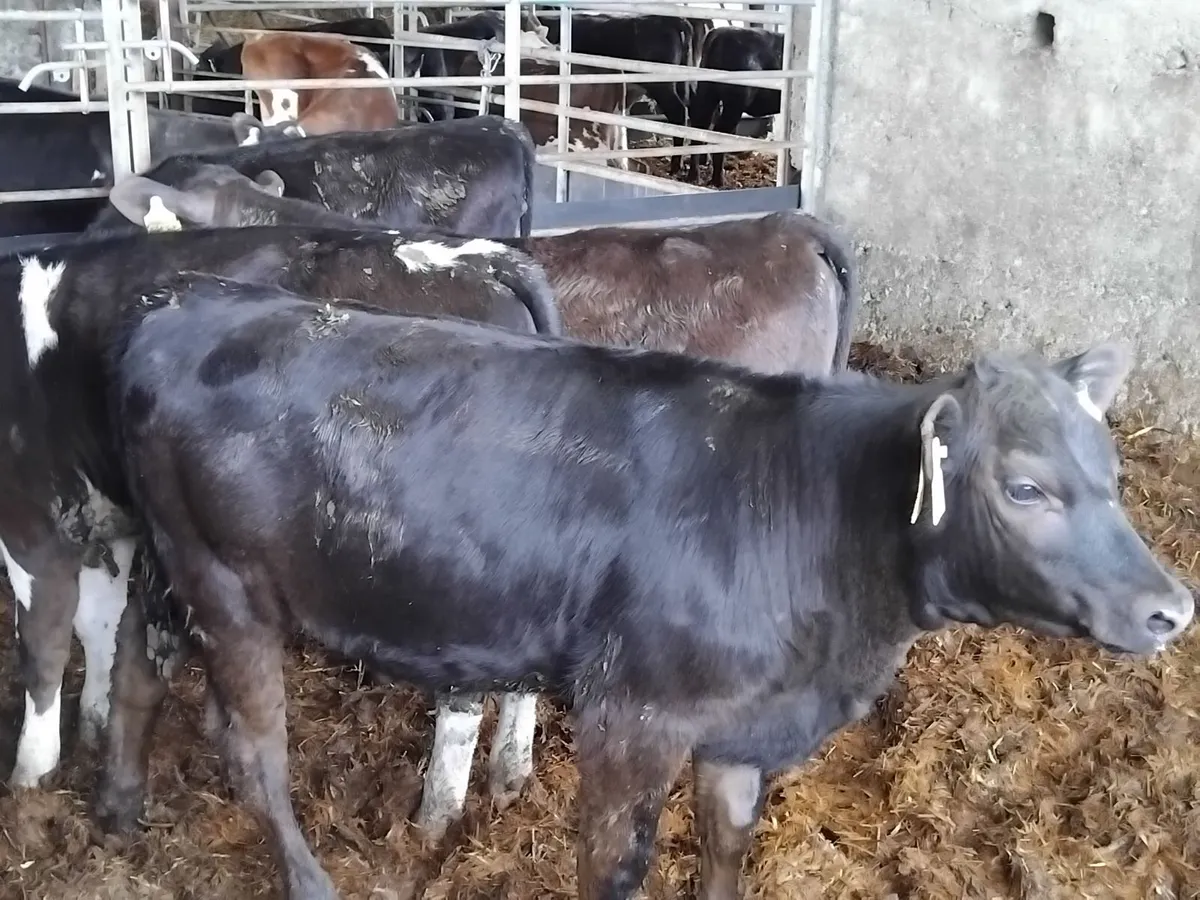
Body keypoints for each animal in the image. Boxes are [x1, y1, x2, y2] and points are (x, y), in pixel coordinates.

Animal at [0, 223, 559, 791]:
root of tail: (477, 256)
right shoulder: (101, 521)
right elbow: (97, 627)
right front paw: (92, 722)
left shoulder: (29, 524)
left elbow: (43, 646)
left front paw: (31, 773)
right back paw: (509, 771)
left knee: (462, 706)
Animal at [94, 267, 1193, 900]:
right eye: (1024, 486)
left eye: (1111, 471)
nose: (1171, 607)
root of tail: (185, 313)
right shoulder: (634, 716)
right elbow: (618, 868)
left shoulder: (739, 733)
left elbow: (726, 853)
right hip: (227, 583)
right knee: (254, 751)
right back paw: (308, 878)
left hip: (165, 562)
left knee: (135, 663)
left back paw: (120, 806)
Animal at [685, 26, 784, 187]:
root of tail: (719, 34)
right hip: (734, 105)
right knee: (719, 132)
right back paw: (718, 181)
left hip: (707, 95)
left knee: (699, 130)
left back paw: (694, 177)